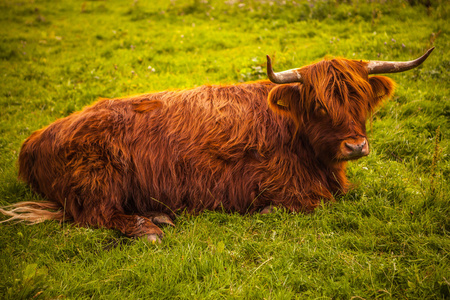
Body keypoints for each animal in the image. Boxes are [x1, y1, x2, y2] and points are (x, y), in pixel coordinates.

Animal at [0, 48, 436, 243]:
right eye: (319, 105)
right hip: (97, 176)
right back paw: (149, 227)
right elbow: (311, 203)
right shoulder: (282, 187)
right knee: (93, 215)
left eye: (361, 100)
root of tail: (34, 140)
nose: (355, 146)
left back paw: (158, 217)